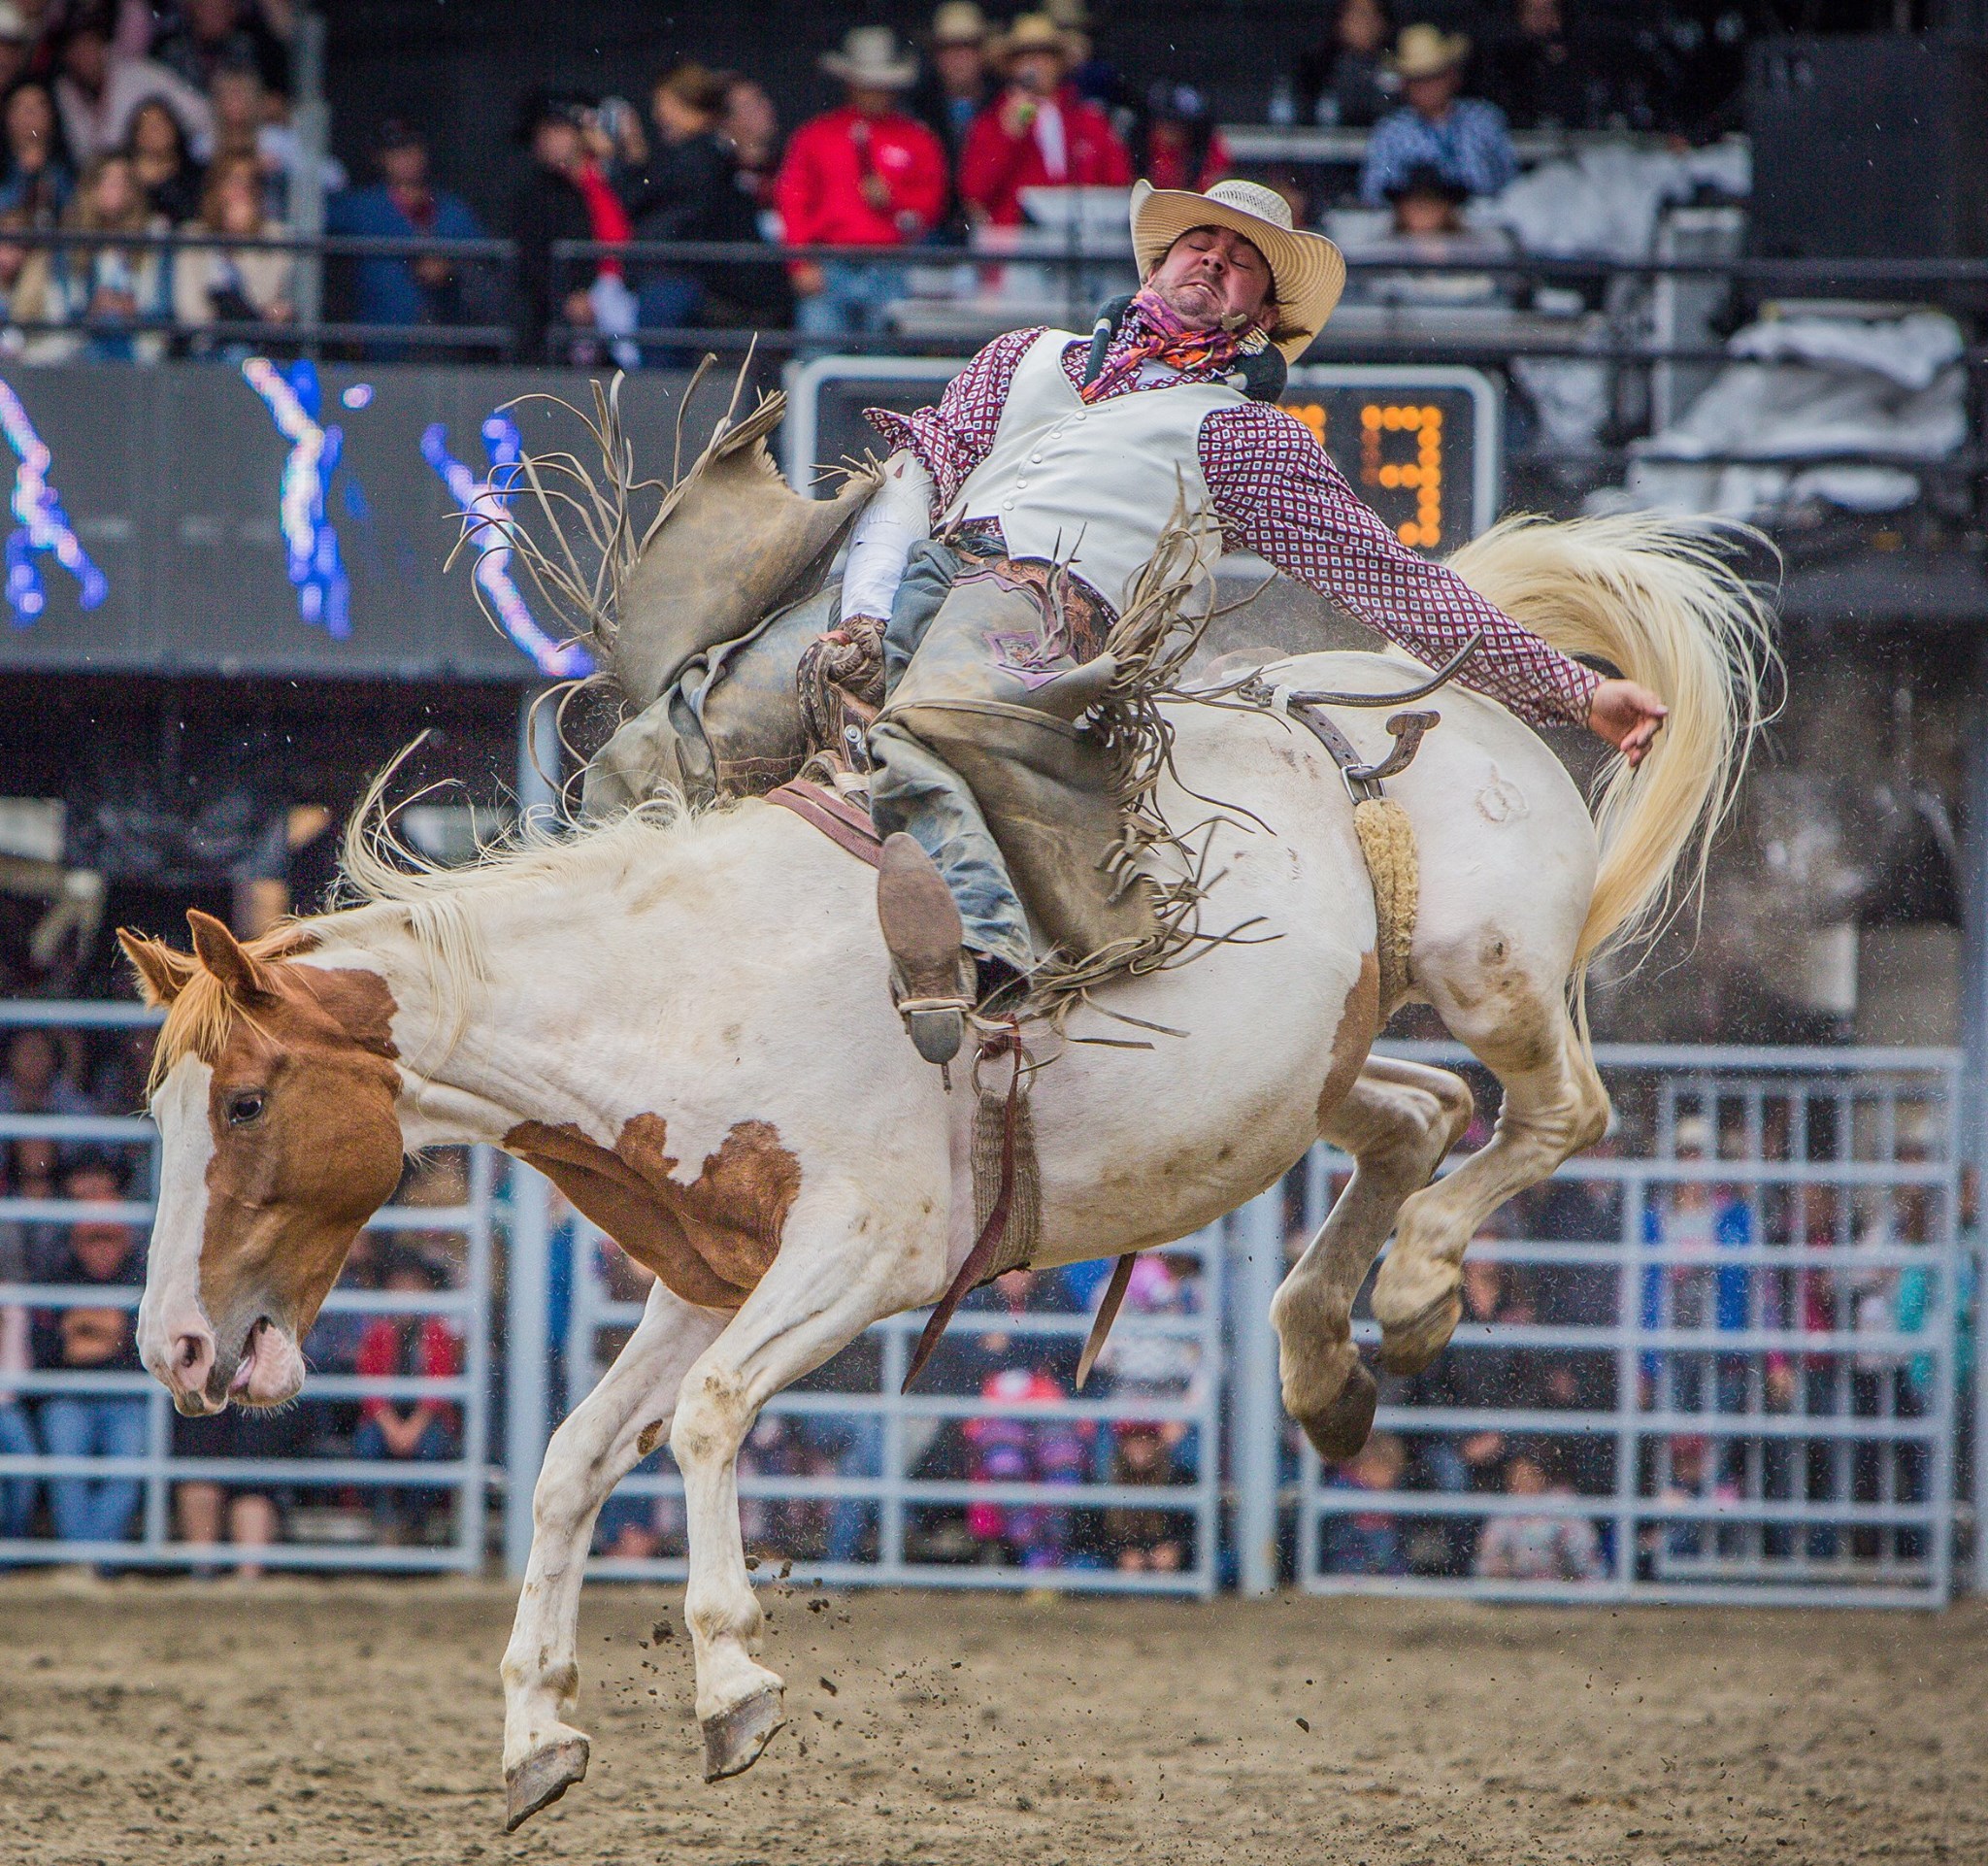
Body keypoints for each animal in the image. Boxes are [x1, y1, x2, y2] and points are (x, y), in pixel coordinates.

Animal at [116, 475, 1773, 1821]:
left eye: (245, 1102)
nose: (175, 1349)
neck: (680, 985)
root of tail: (1425, 690)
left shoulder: (859, 1255)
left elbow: (708, 1419)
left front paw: (733, 1687)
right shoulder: (713, 1273)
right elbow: (576, 1458)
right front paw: (536, 1733)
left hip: (1497, 972)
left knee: (1556, 1112)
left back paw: (1419, 1291)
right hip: (1321, 1069)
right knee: (1418, 1114)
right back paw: (1323, 1360)